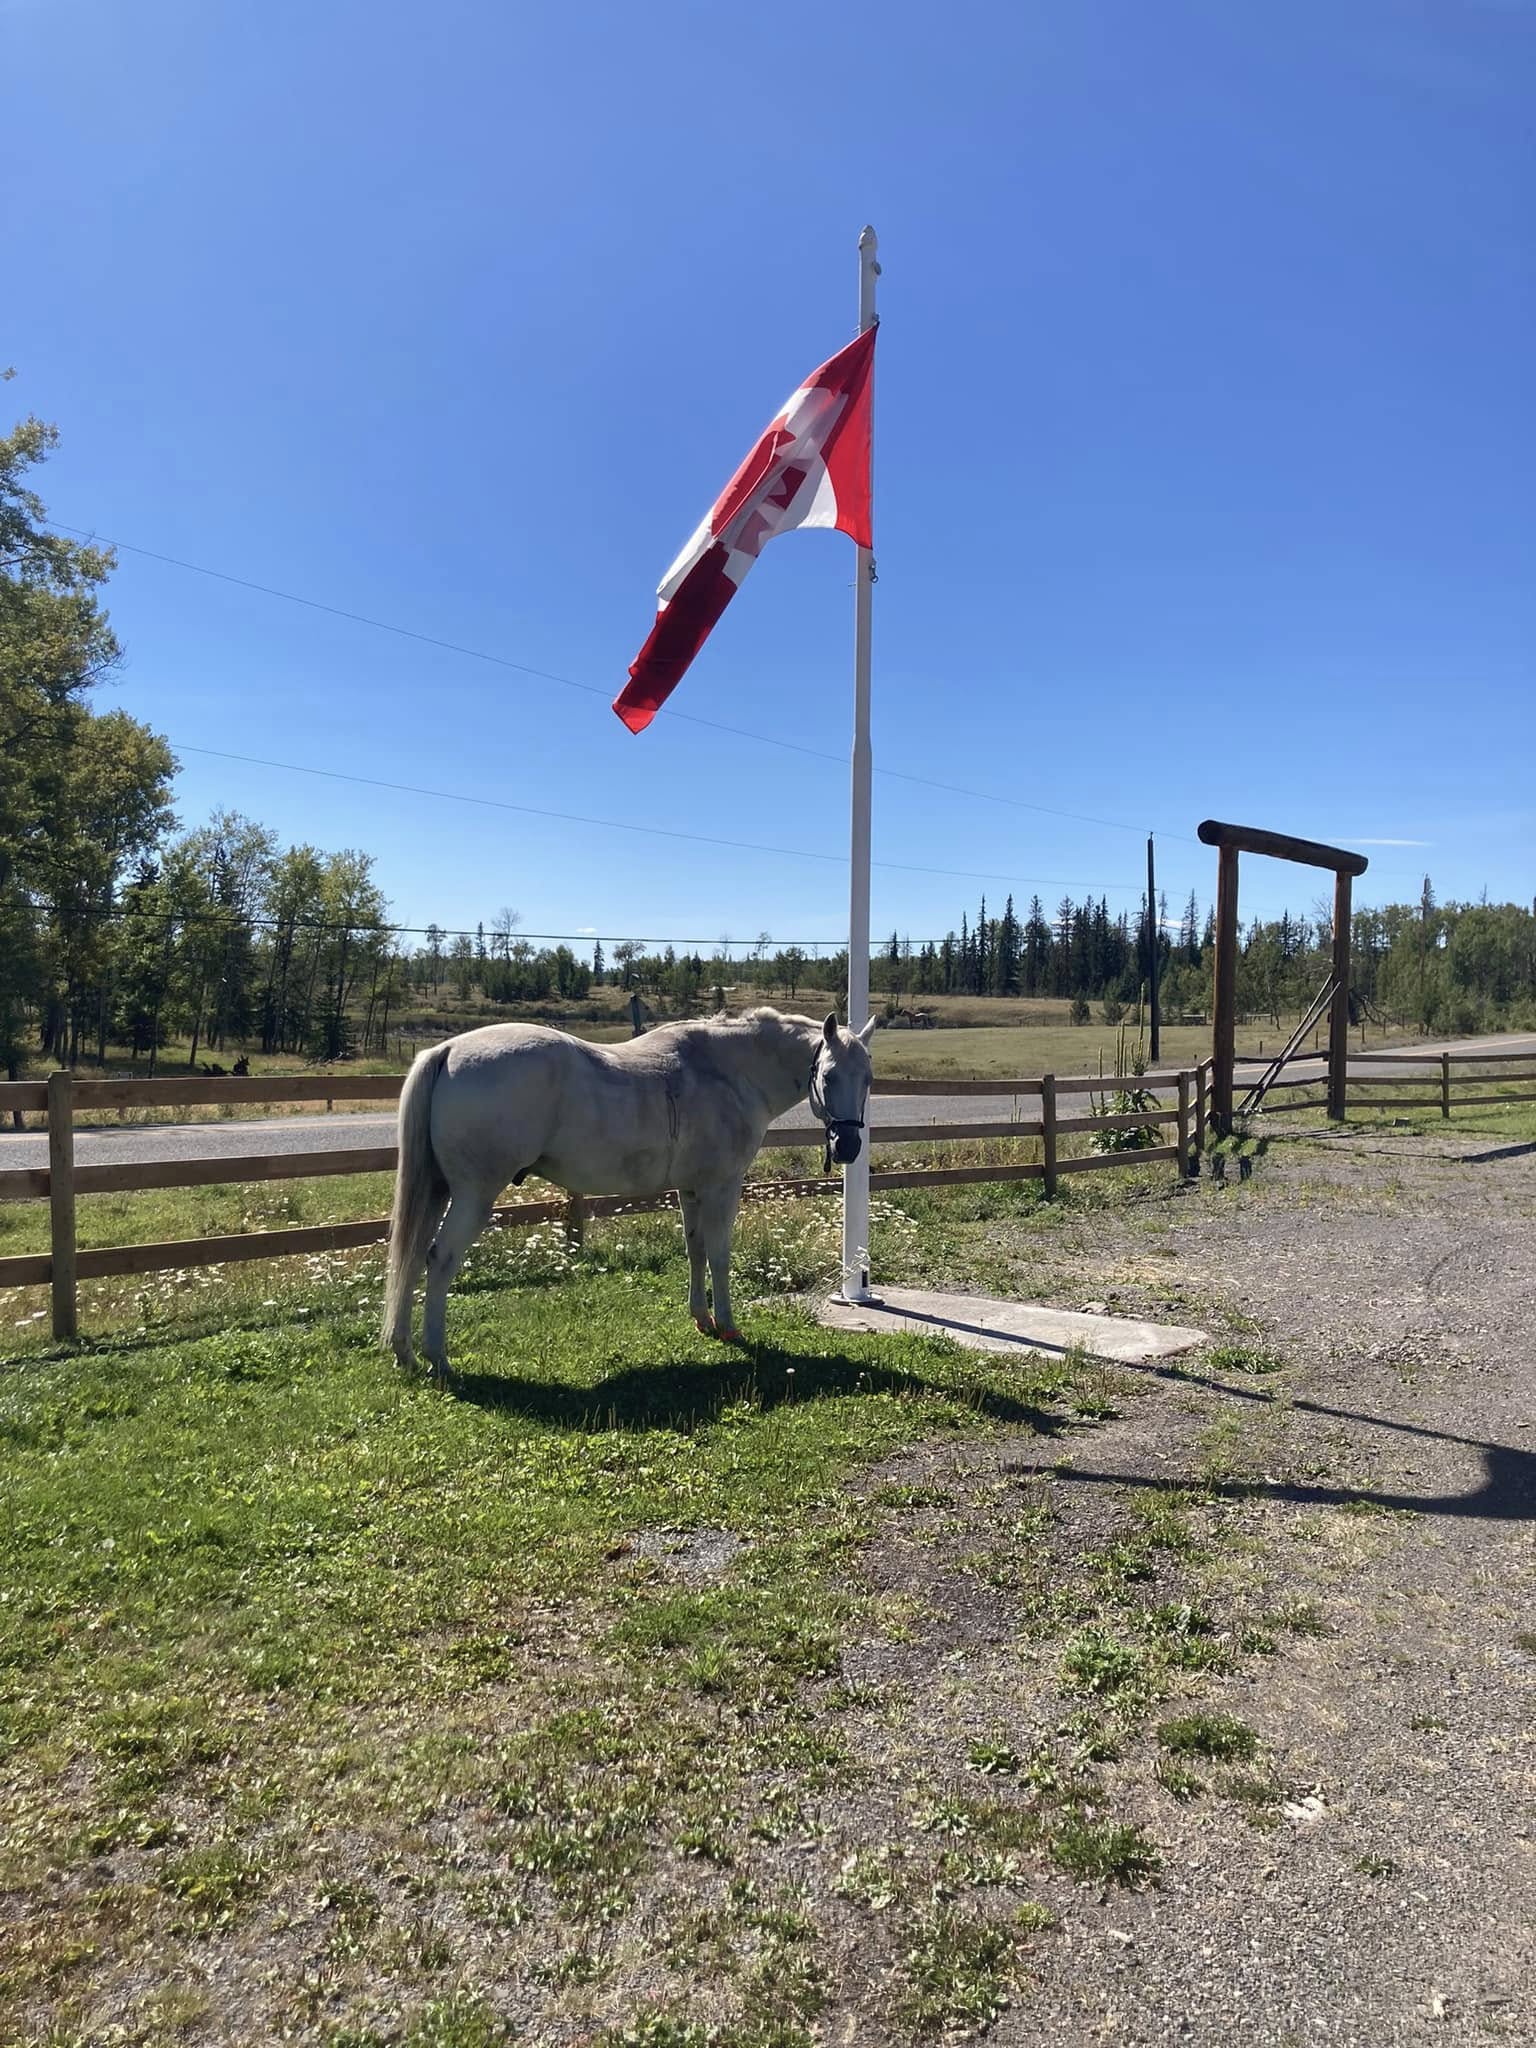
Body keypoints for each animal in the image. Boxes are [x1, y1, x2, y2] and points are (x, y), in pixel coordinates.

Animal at [382, 1007, 876, 1374]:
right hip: (474, 1195)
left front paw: (702, 1319)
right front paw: (729, 1325)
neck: (726, 1072)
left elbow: (695, 1250)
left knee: (411, 1257)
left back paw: (404, 1351)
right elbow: (719, 1255)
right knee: (440, 1259)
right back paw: (438, 1357)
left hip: (438, 1191)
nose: (848, 1146)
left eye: (868, 1079)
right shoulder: (721, 1186)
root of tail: (448, 1050)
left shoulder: (690, 1190)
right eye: (828, 1076)